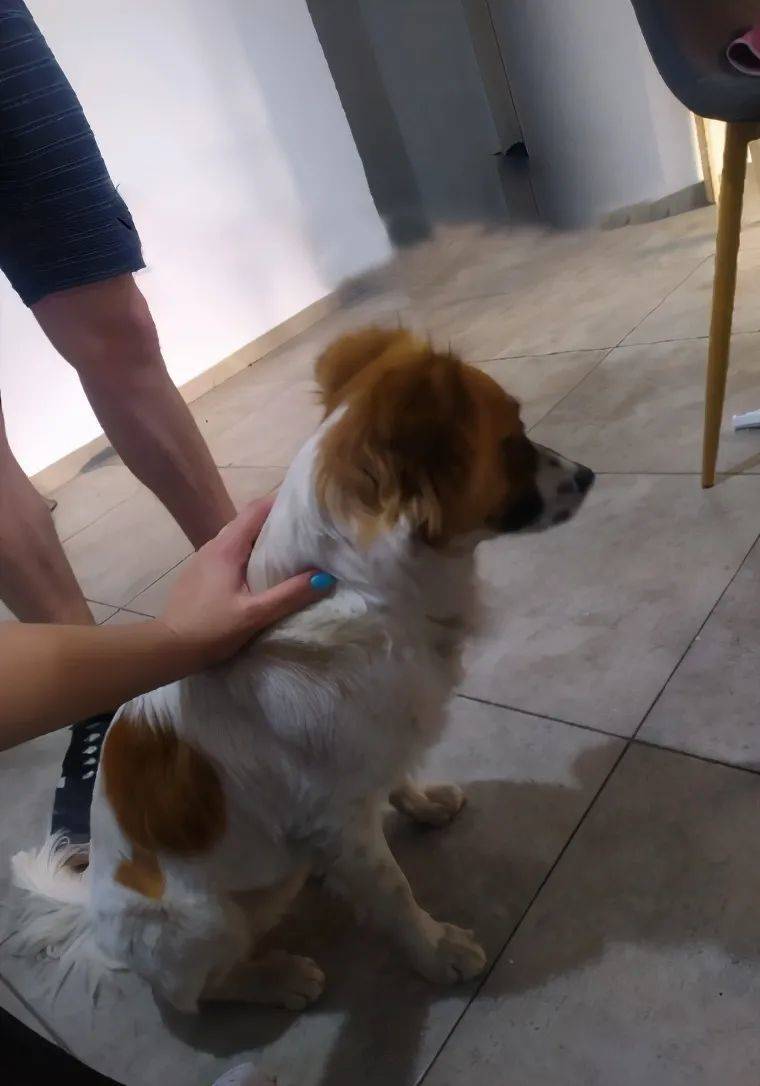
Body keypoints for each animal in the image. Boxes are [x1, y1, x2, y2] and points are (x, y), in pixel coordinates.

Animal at [12, 327, 594, 1013]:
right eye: (512, 441)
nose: (589, 475)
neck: (356, 585)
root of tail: (94, 919)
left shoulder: (366, 751)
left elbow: (395, 780)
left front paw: (422, 806)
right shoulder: (338, 821)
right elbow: (393, 892)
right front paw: (436, 951)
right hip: (208, 922)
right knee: (203, 992)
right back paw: (278, 978)